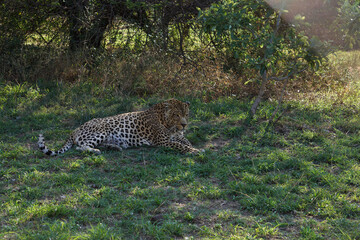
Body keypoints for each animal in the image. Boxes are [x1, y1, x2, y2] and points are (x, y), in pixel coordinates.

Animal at [37, 98, 200, 156]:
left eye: (186, 114)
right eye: (176, 115)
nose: (184, 124)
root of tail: (75, 130)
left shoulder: (177, 136)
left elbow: (185, 141)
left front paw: (194, 147)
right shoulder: (163, 142)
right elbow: (180, 145)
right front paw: (195, 151)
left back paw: (114, 147)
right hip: (101, 130)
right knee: (80, 146)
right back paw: (95, 151)